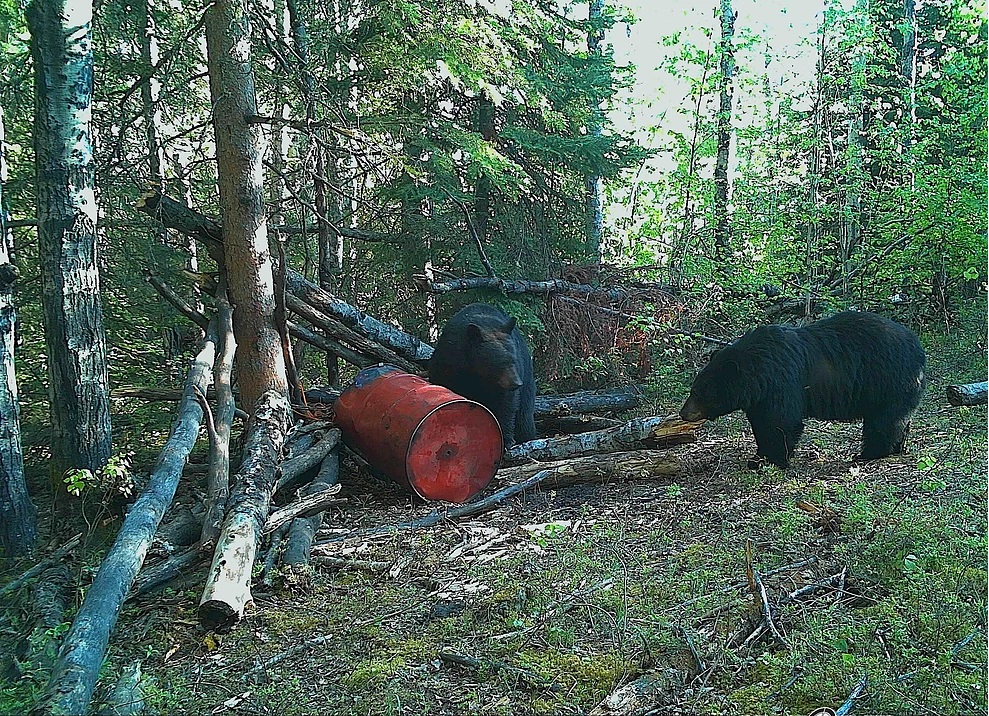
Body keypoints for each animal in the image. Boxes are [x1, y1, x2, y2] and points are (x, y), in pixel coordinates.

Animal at [428, 304, 536, 450]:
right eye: (501, 362)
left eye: (513, 359)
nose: (516, 383)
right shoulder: (449, 361)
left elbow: (507, 404)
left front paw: (507, 439)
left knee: (525, 419)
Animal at [680, 310, 928, 468]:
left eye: (699, 392)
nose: (683, 413)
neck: (760, 372)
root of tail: (918, 348)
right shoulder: (761, 398)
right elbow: (762, 423)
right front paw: (759, 456)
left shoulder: (783, 382)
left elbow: (781, 422)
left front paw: (772, 460)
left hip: (887, 380)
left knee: (883, 421)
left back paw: (869, 454)